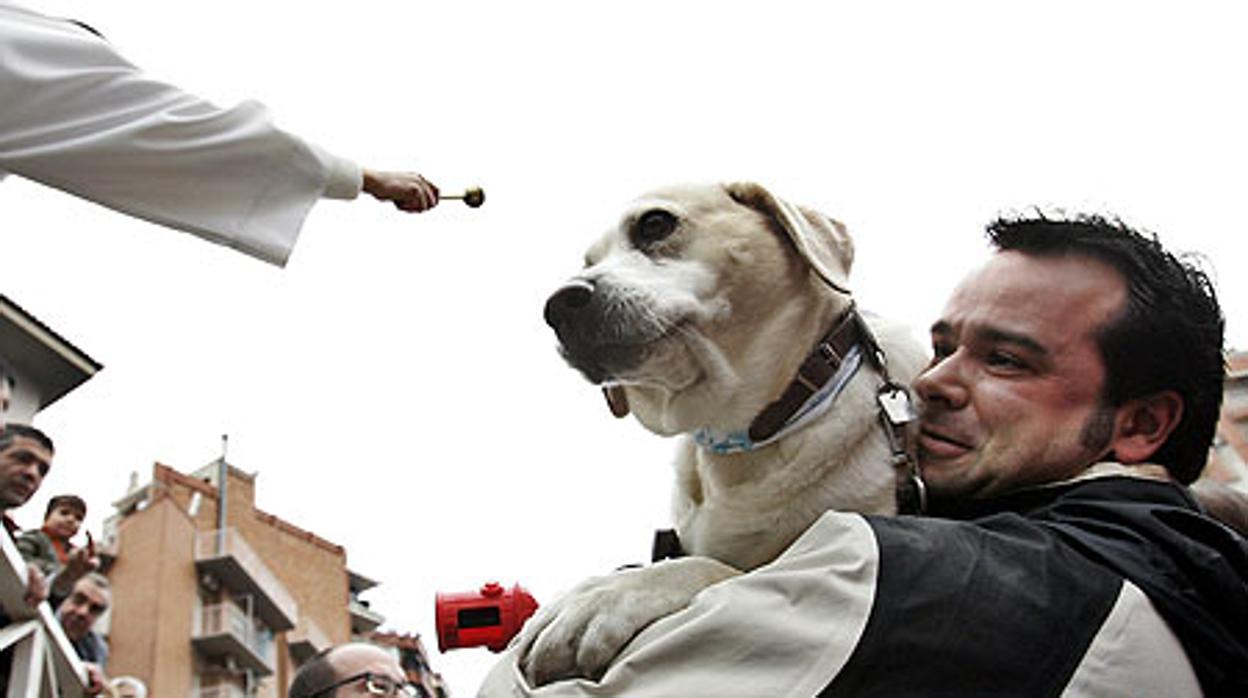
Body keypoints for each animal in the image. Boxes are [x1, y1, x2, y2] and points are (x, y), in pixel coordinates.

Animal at [521, 181, 923, 689]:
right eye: (588, 261)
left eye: (655, 223)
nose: (557, 305)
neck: (747, 435)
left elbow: (709, 567)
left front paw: (600, 596)